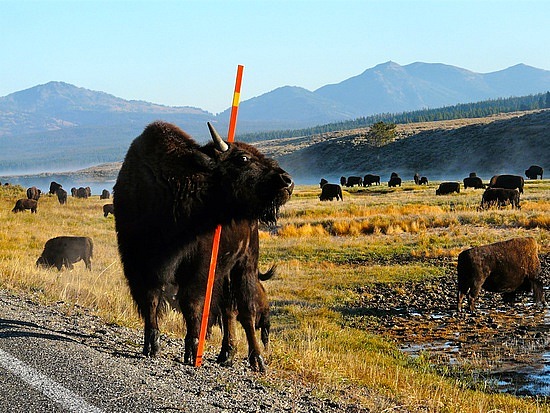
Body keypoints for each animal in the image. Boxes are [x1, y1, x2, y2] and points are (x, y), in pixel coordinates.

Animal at [113, 120, 296, 372]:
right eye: (243, 158)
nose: (287, 181)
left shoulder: (199, 268)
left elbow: (192, 304)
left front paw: (191, 351)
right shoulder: (139, 262)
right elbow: (151, 300)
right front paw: (151, 346)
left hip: (245, 264)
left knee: (246, 312)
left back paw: (257, 360)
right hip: (226, 272)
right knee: (229, 310)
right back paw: (226, 354)